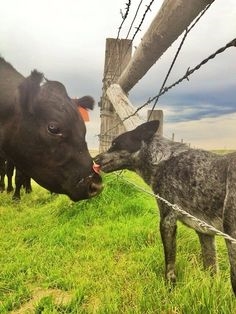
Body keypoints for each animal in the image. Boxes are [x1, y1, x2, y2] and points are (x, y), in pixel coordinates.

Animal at [95, 119, 236, 294]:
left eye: (115, 143)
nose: (94, 159)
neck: (161, 160)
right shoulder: (205, 233)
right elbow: (211, 270)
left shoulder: (167, 221)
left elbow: (170, 261)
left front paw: (170, 284)